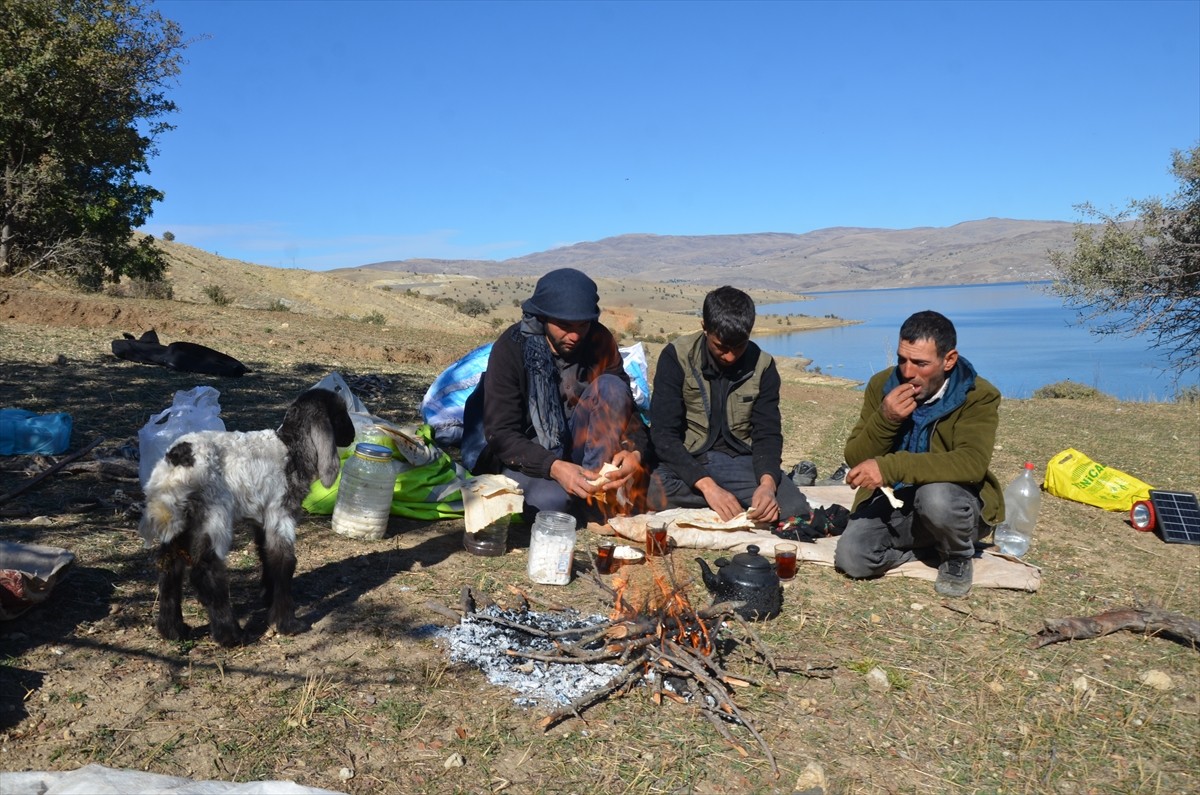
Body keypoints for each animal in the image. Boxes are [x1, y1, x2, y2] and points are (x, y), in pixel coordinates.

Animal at [137, 391, 350, 648]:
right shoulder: (280, 512)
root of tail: (176, 463)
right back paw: (230, 635)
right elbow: (284, 561)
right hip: (214, 513)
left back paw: (173, 630)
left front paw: (267, 596)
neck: (291, 448)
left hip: (181, 520)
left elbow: (265, 553)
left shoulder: (261, 518)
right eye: (341, 414)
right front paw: (287, 623)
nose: (352, 434)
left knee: (169, 564)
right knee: (206, 570)